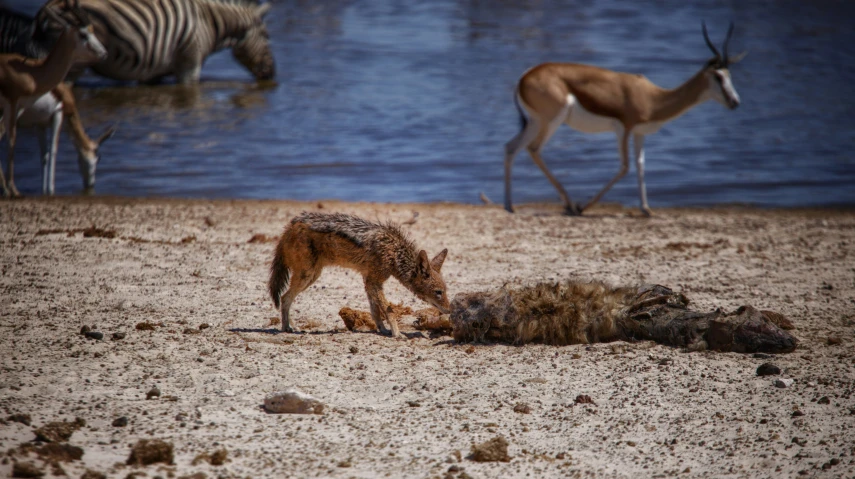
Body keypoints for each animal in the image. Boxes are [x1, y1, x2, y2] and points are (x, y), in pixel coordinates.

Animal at [37, 0, 274, 84]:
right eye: (266, 36)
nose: (272, 74)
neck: (209, 22)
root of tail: (46, 9)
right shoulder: (190, 64)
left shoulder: (153, 69)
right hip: (71, 65)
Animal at [504, 23, 744, 217]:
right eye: (718, 76)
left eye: (729, 75)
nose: (735, 102)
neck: (652, 98)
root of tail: (525, 76)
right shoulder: (624, 129)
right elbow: (624, 167)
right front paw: (584, 207)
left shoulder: (639, 133)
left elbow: (640, 165)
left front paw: (646, 209)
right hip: (551, 121)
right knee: (534, 149)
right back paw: (571, 205)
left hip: (535, 122)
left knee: (511, 147)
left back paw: (510, 206)